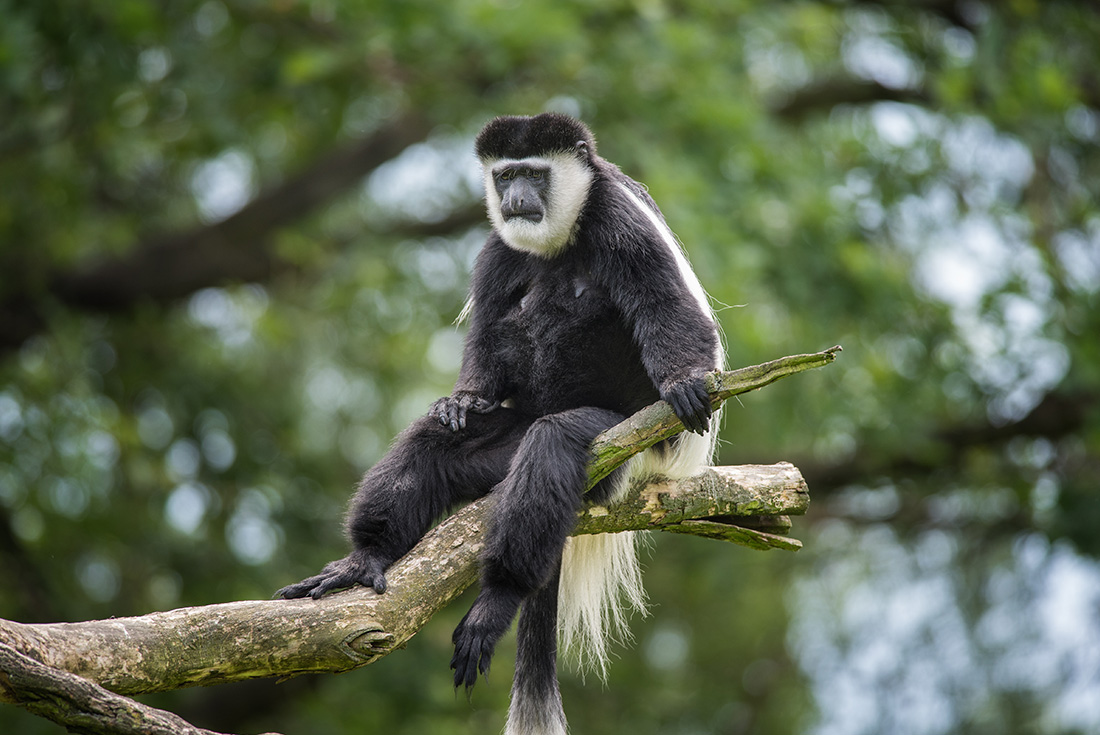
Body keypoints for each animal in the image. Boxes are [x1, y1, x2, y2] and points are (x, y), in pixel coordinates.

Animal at [278, 112, 723, 735]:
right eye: (506, 175)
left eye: (534, 174)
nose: (514, 199)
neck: (561, 236)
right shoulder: (497, 248)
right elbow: (488, 329)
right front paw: (461, 400)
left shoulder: (618, 220)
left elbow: (662, 304)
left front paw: (683, 381)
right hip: (500, 453)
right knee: (431, 445)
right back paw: (366, 558)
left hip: (619, 448)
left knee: (553, 444)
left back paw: (496, 600)